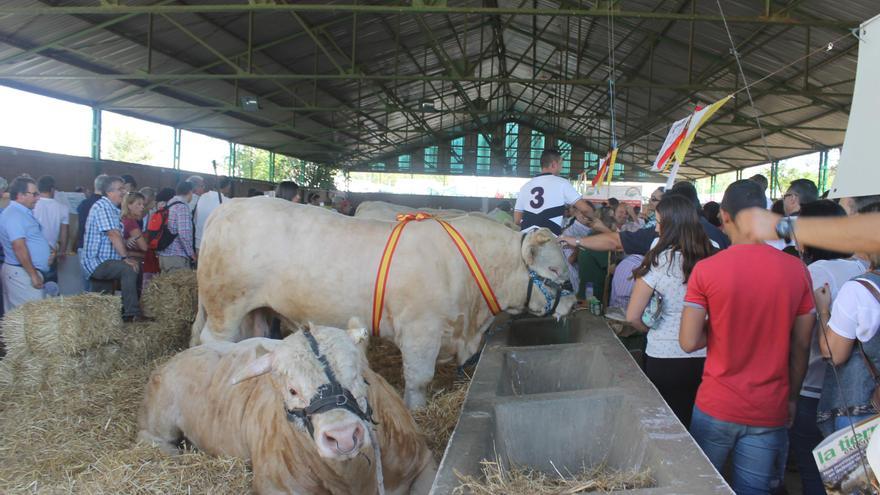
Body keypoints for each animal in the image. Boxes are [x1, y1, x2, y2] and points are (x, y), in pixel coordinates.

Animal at [193, 200, 576, 408]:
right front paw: (417, 411)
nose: (572, 304)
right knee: (214, 343)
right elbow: (419, 379)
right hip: (225, 305)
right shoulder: (421, 331)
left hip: (255, 309)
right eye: (555, 269)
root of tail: (228, 206)